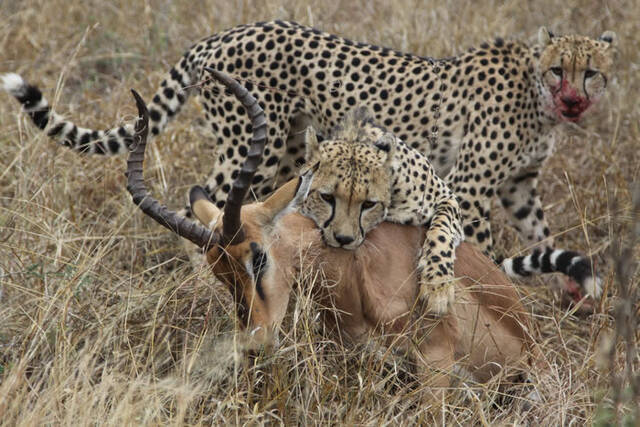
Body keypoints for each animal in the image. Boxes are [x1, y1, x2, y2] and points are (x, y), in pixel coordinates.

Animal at [292, 105, 462, 316]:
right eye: (327, 197)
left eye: (368, 204)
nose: (343, 239)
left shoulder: (446, 197)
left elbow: (441, 231)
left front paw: (438, 285)